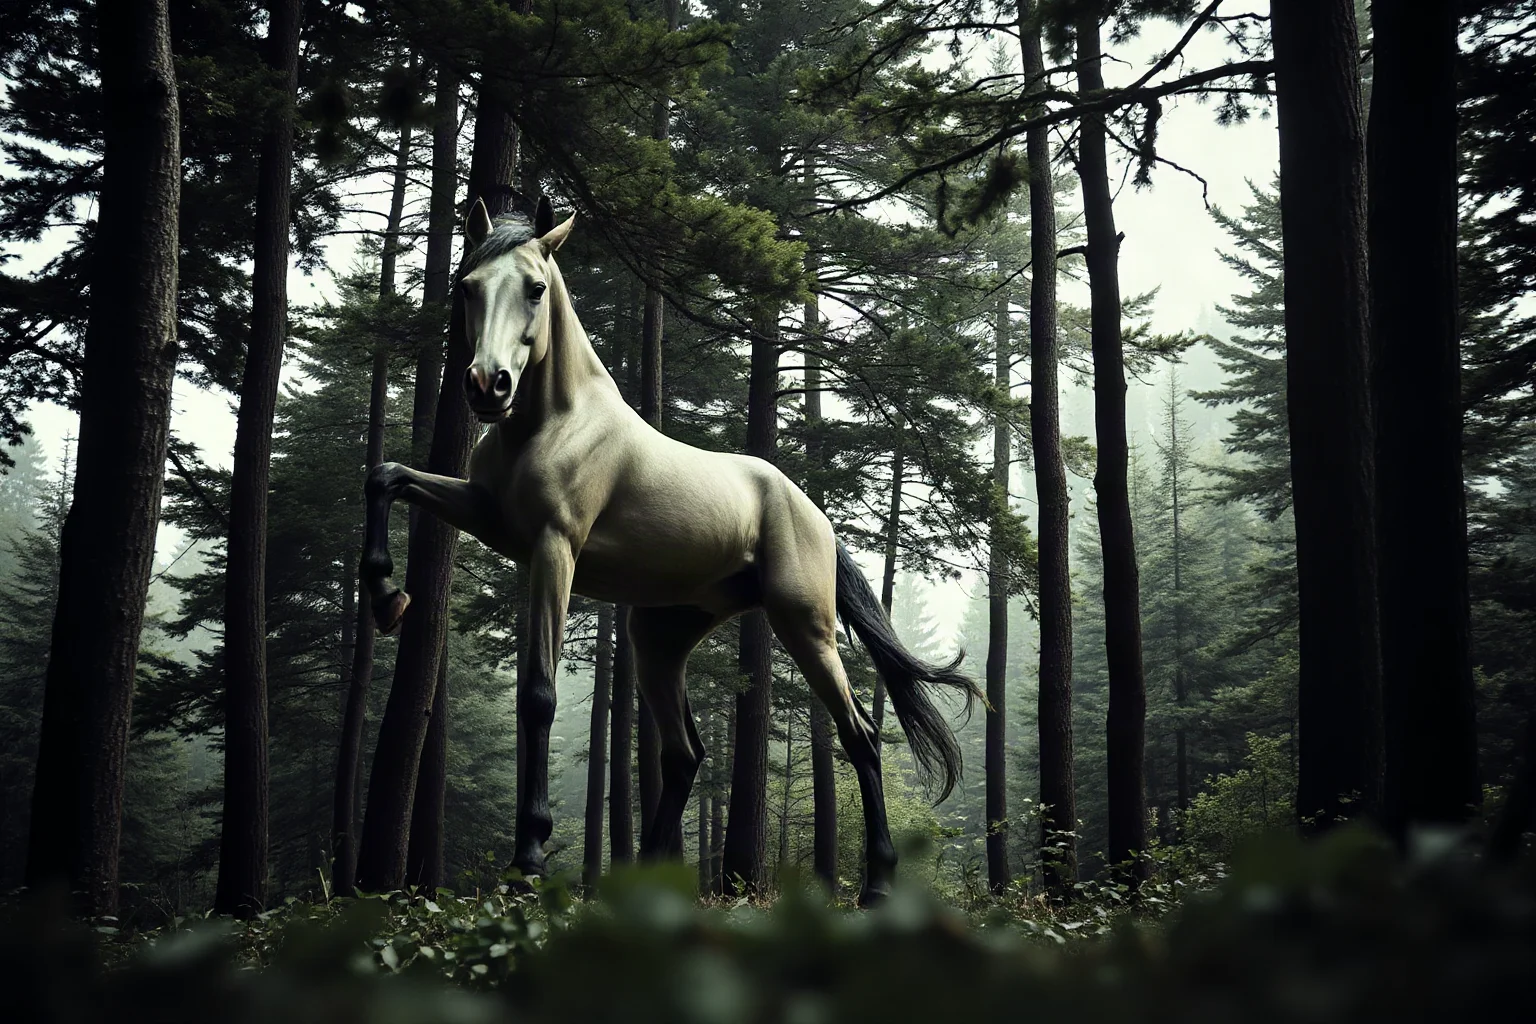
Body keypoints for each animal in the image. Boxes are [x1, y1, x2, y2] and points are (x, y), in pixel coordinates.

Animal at [359, 196, 981, 906]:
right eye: (467, 286)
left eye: (536, 289)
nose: (488, 385)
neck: (554, 420)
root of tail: (815, 515)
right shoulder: (488, 517)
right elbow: (385, 476)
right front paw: (386, 596)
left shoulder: (553, 550)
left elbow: (538, 695)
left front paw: (529, 860)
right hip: (658, 638)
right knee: (684, 754)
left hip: (805, 627)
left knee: (861, 736)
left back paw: (876, 885)